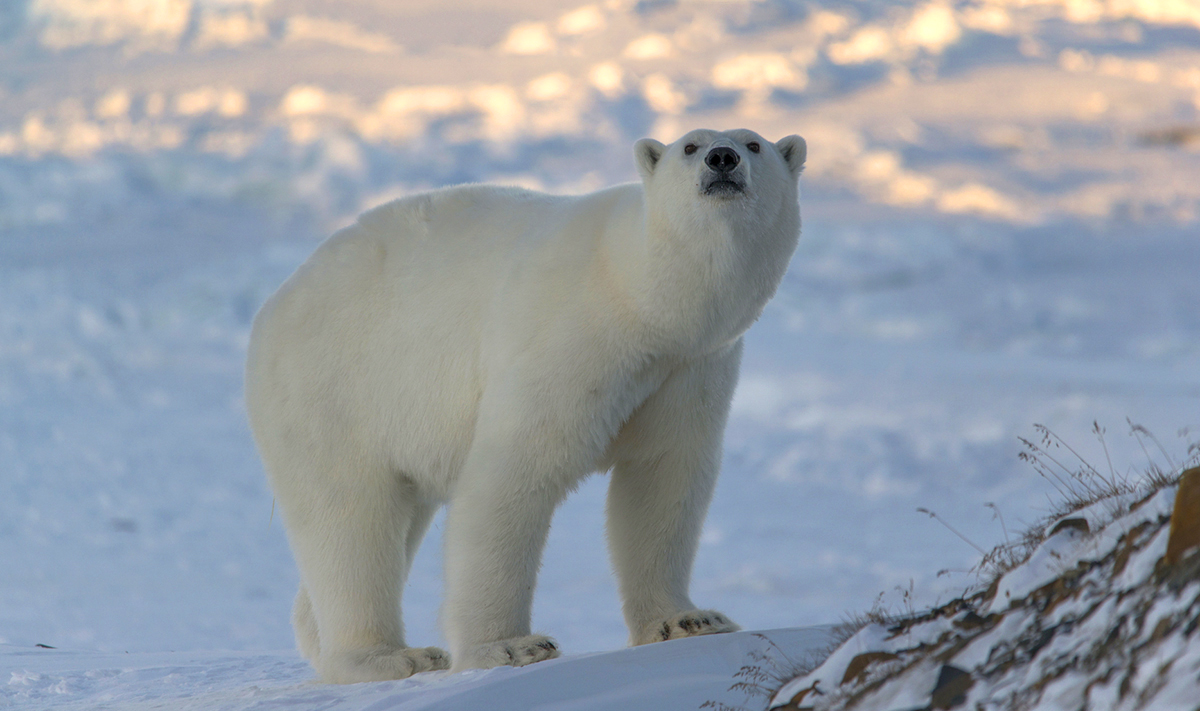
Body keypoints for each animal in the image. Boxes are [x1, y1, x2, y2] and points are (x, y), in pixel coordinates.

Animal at [243, 127, 806, 682]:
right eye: (690, 146)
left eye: (753, 144)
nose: (722, 159)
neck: (638, 295)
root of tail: (273, 307)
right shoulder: (568, 337)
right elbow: (515, 469)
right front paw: (510, 647)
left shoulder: (690, 367)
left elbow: (663, 477)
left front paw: (688, 620)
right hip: (337, 388)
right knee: (348, 516)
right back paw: (388, 657)